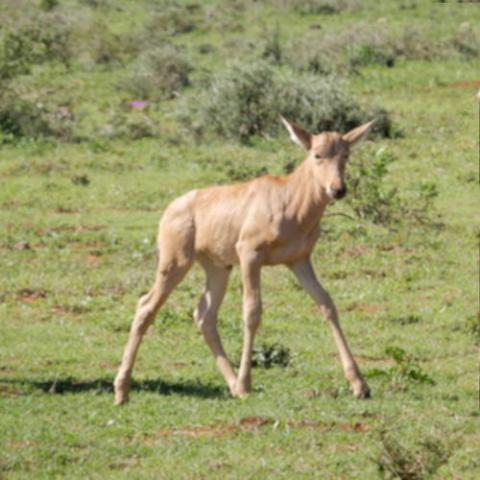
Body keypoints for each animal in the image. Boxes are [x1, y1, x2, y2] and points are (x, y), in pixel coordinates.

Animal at [113, 118, 376, 404]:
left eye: (346, 155)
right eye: (317, 154)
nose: (337, 189)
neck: (287, 195)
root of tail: (172, 208)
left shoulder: (299, 261)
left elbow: (326, 304)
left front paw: (360, 385)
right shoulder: (250, 255)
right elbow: (252, 311)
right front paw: (247, 383)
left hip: (218, 268)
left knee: (204, 315)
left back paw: (233, 387)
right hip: (175, 263)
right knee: (146, 306)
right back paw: (122, 391)